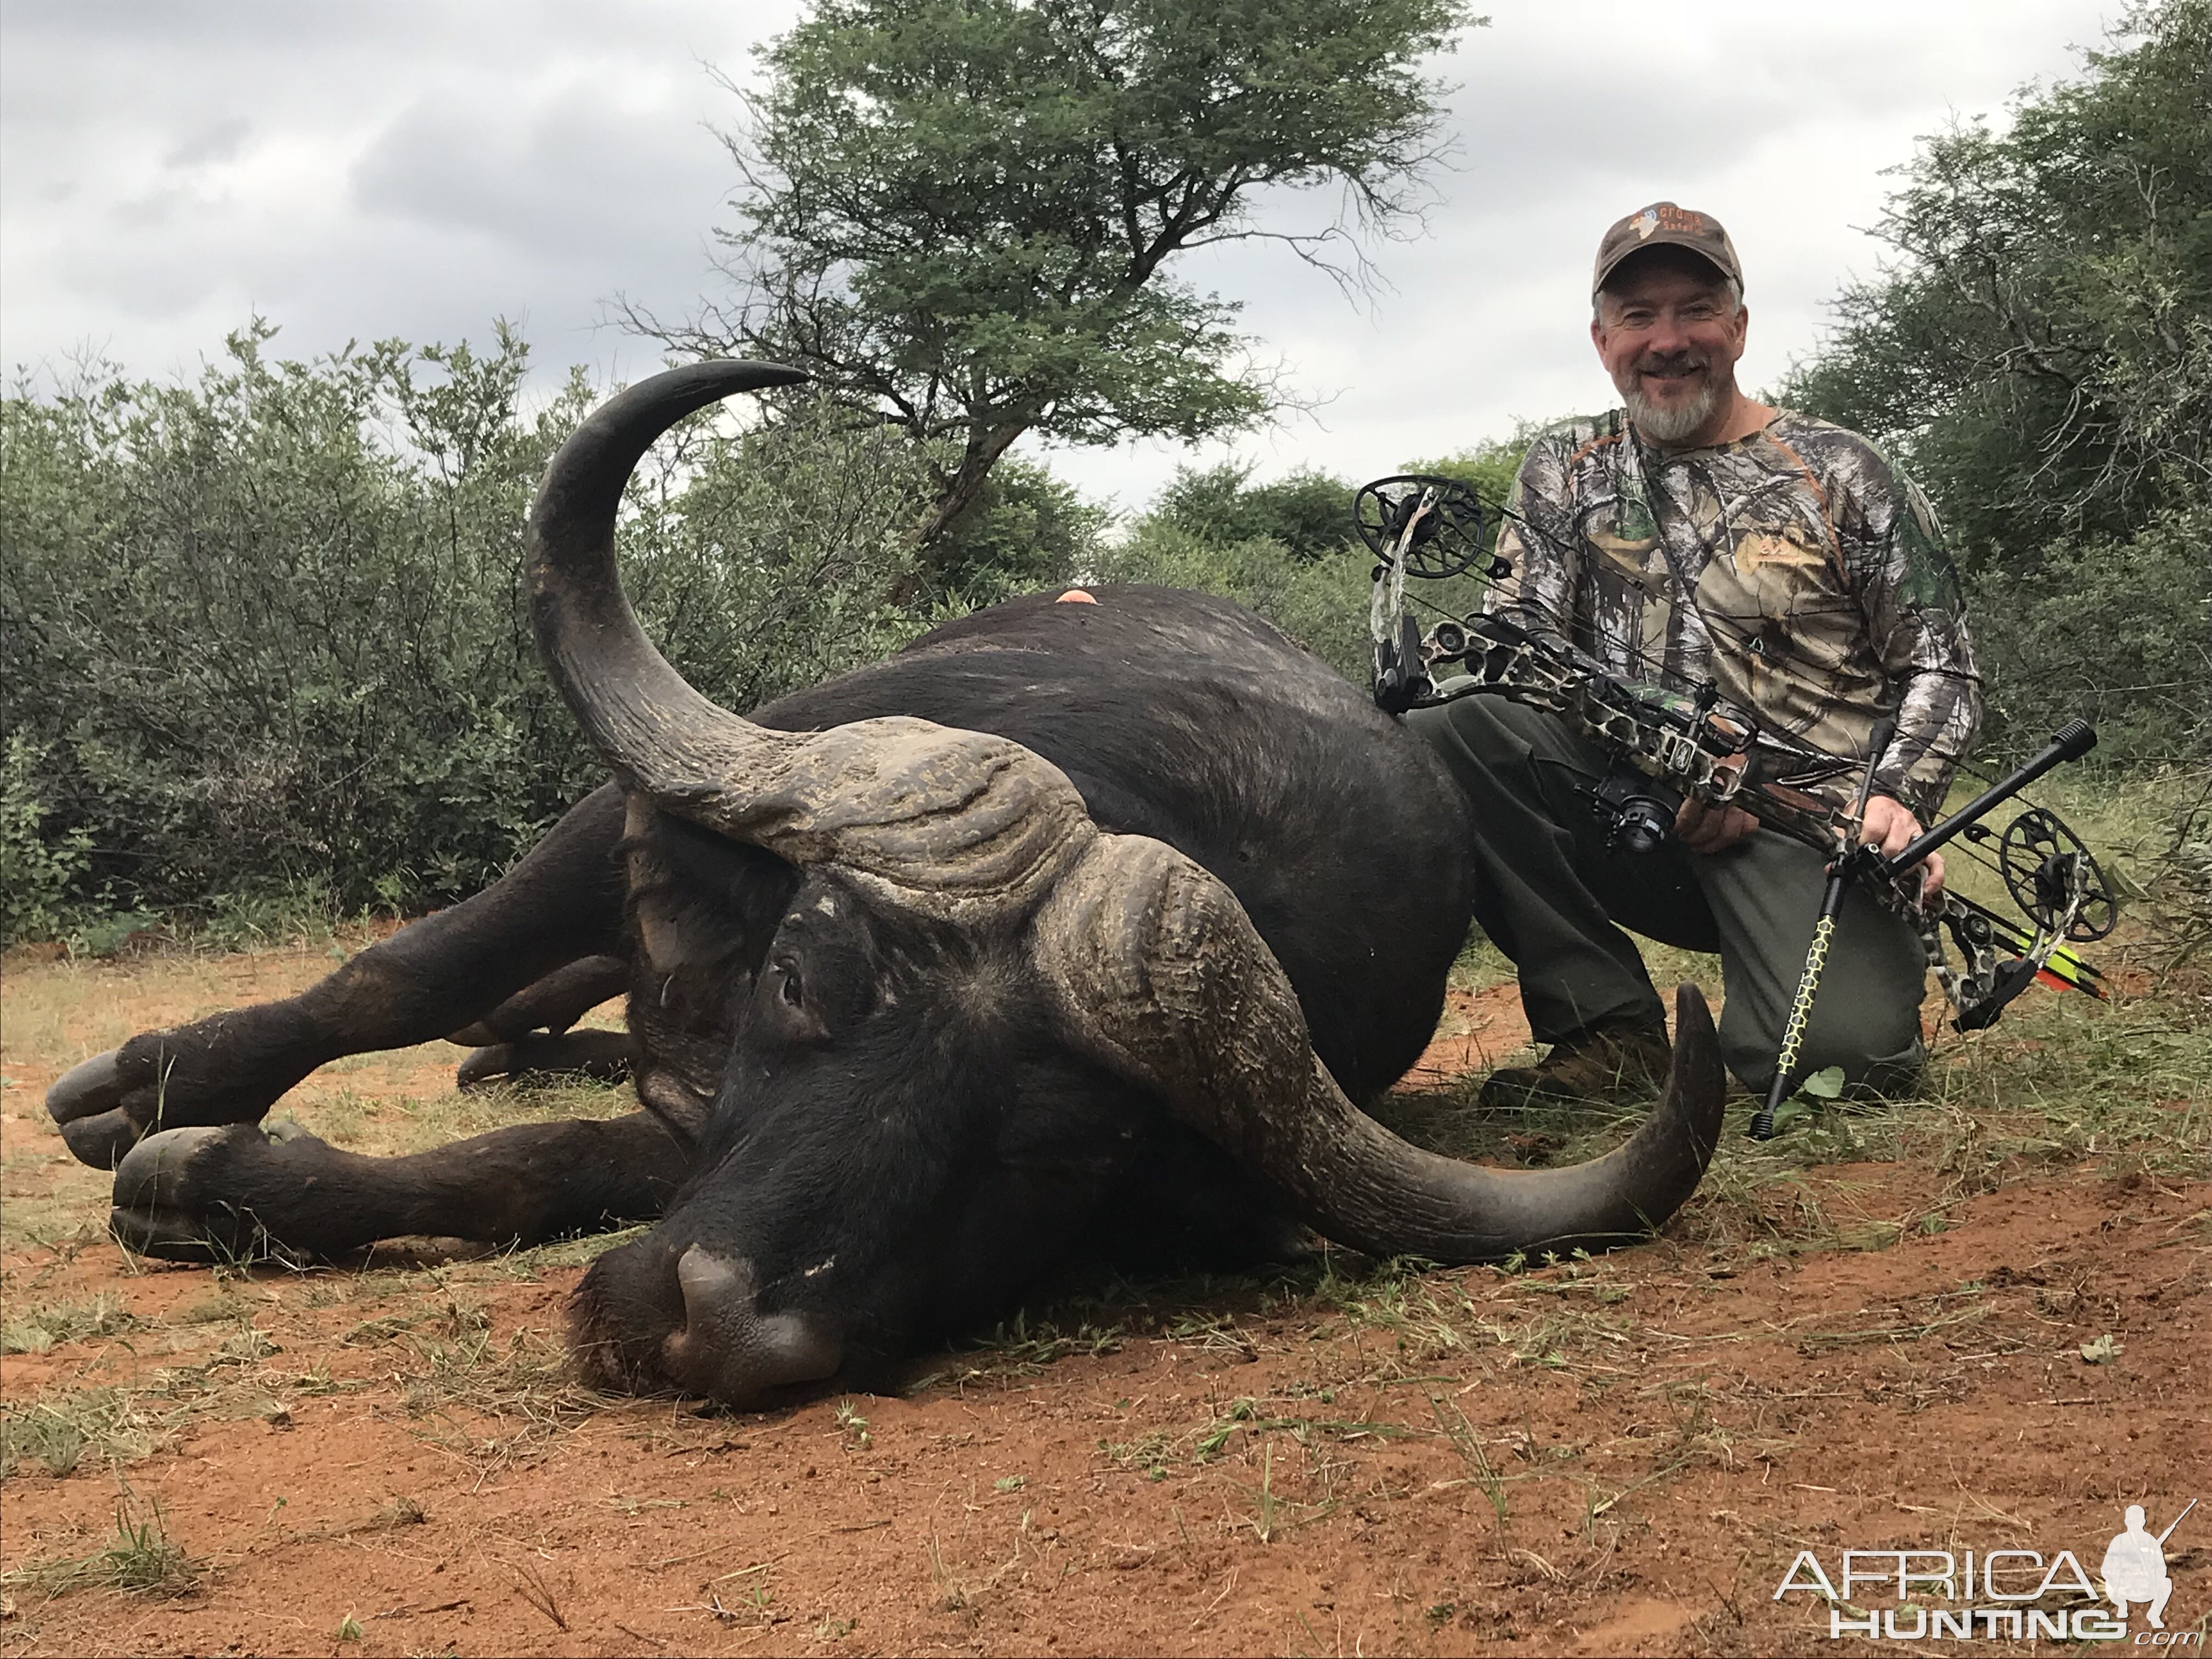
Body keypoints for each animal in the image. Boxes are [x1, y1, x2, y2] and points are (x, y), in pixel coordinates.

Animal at [39, 360, 1725, 1407]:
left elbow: (541, 1169)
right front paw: (151, 1098)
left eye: (1067, 1149)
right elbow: (392, 973)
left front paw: (222, 1181)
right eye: (805, 980)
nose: (713, 1328)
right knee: (469, 995)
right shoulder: (625, 822)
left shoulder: (685, 1146)